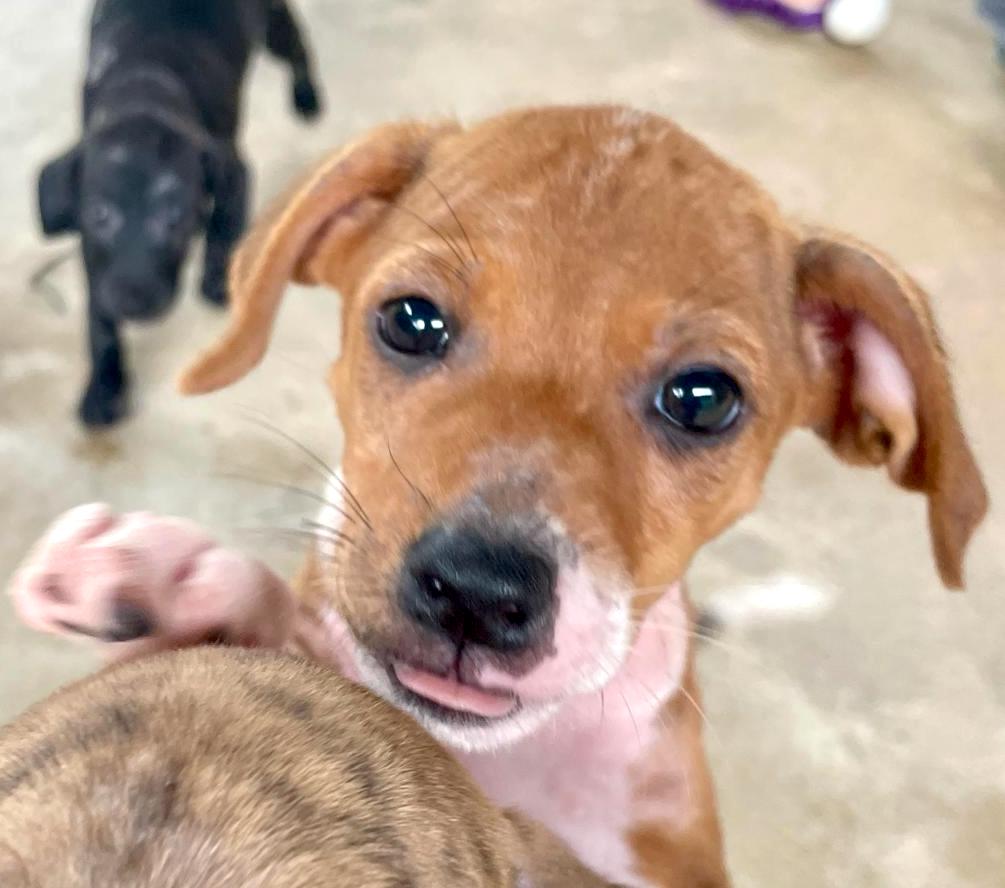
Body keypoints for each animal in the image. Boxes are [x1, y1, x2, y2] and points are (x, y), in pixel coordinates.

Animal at [38, 0, 321, 425]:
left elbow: (222, 230)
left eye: (174, 219)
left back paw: (307, 97)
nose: (134, 303)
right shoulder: (95, 258)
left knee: (299, 49)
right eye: (100, 215)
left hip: (274, 29)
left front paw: (216, 281)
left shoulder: (232, 172)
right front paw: (104, 388)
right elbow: (98, 323)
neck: (144, 91)